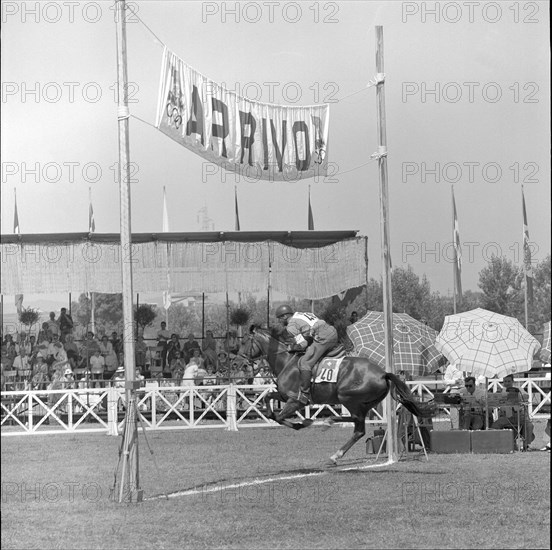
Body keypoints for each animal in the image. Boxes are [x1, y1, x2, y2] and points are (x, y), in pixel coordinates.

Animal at [235, 326, 430, 468]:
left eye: (244, 341)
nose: (238, 363)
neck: (285, 361)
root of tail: (383, 373)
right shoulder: (284, 396)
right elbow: (268, 401)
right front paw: (297, 421)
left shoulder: (295, 401)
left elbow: (279, 416)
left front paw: (301, 424)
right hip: (364, 402)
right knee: (358, 429)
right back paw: (333, 445)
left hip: (347, 396)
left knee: (356, 424)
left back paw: (329, 427)